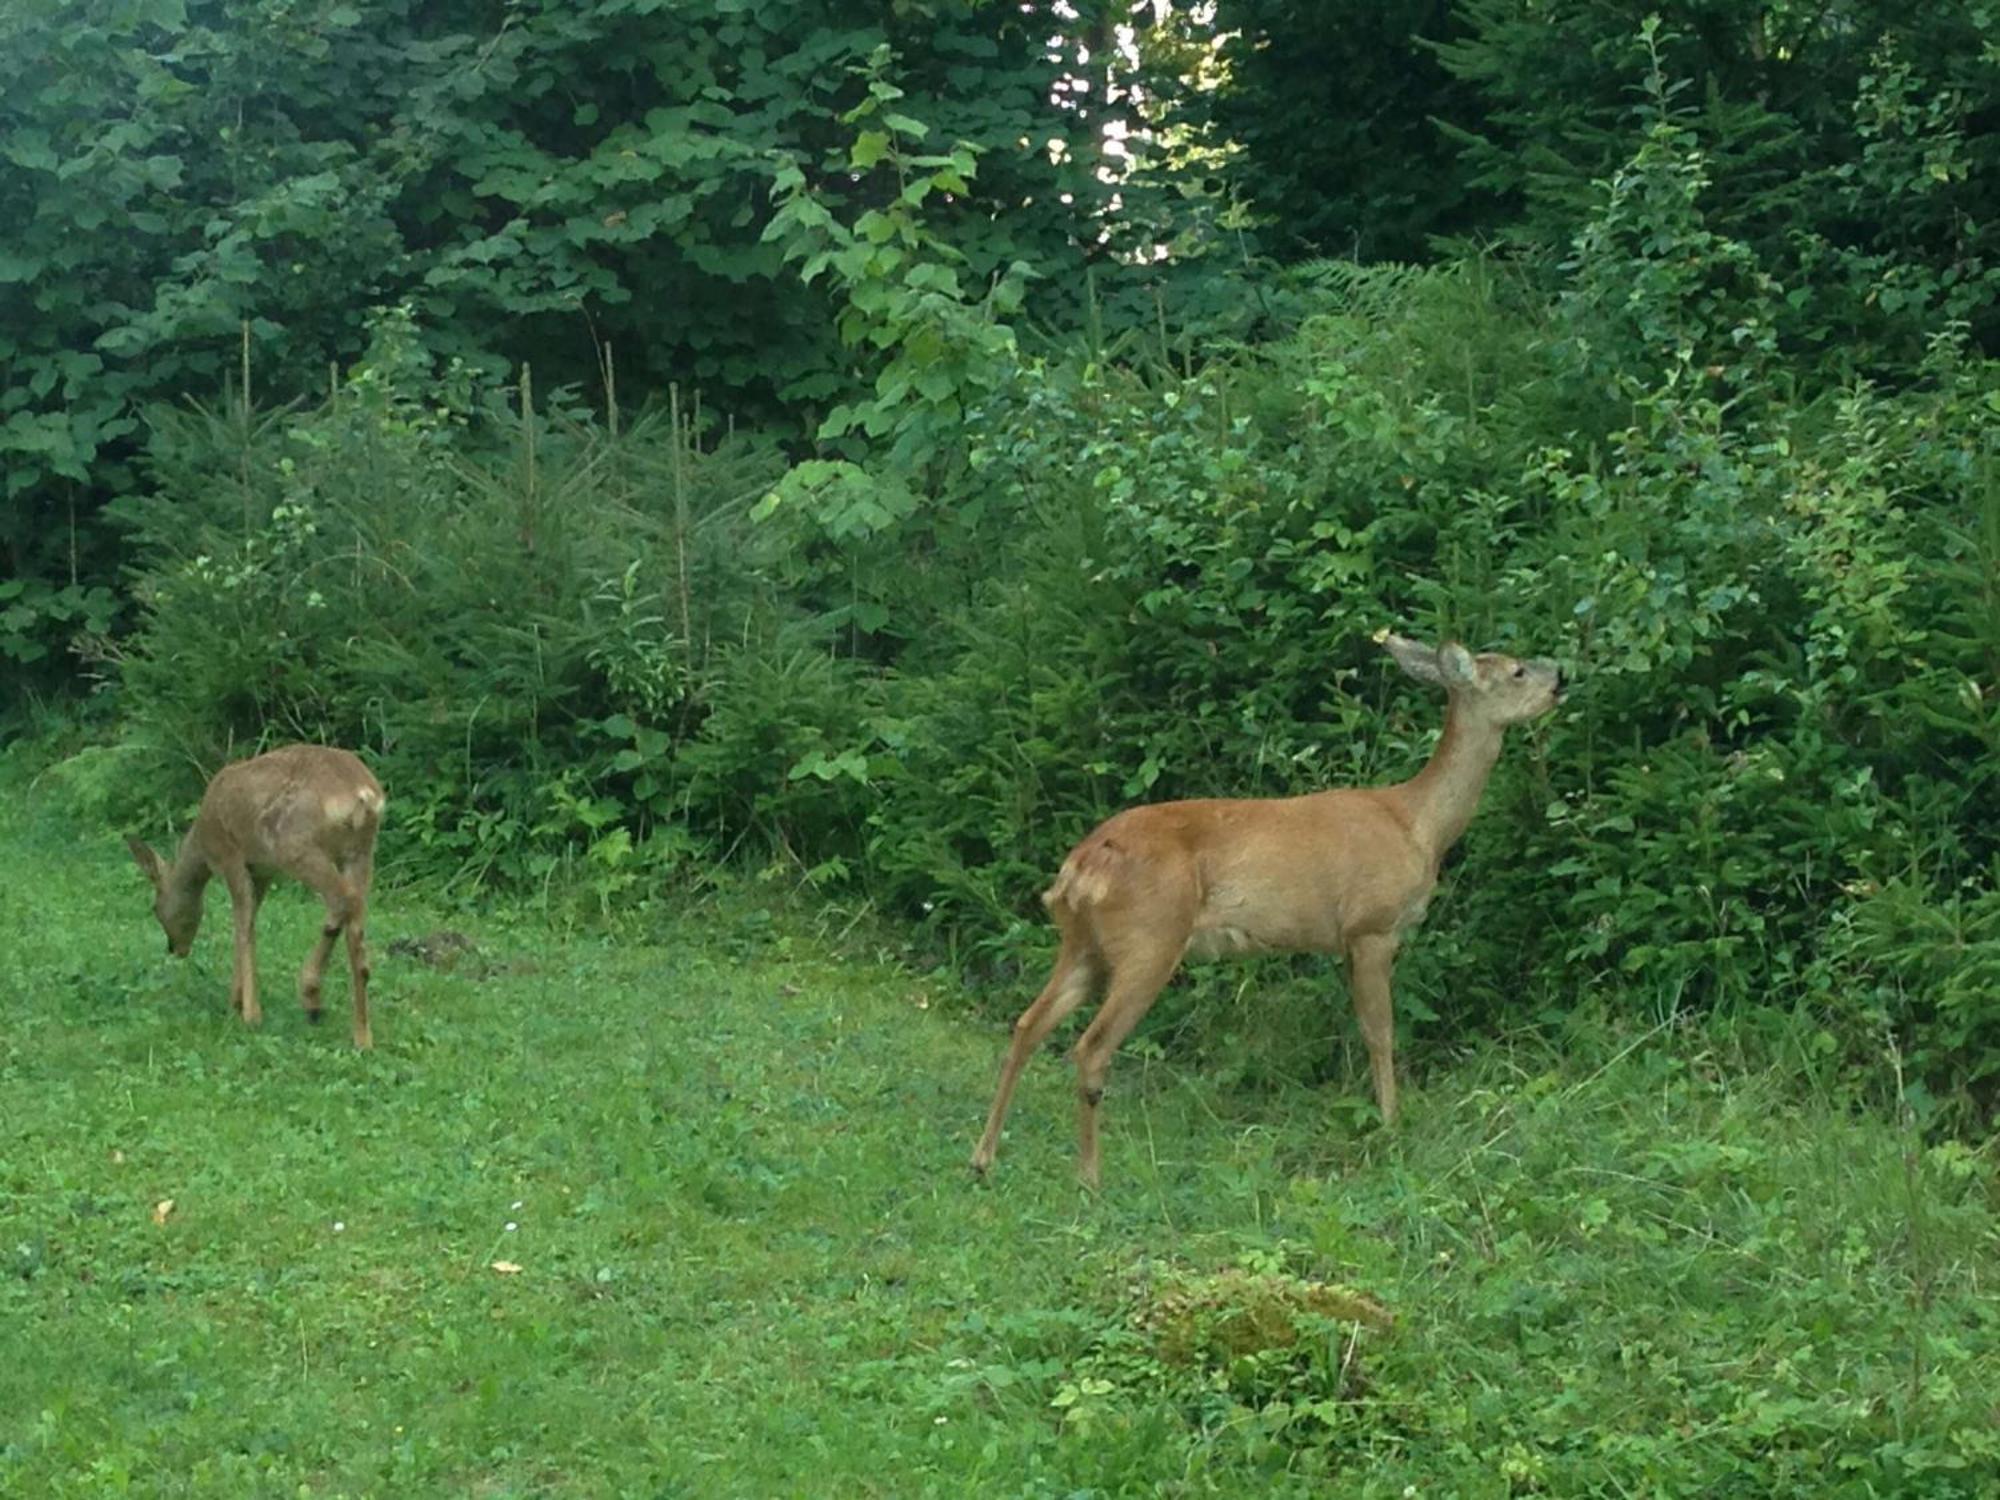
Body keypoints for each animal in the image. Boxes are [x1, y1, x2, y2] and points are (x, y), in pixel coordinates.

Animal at [126, 748, 386, 1048]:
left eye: (155, 908)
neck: (201, 842)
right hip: (360, 852)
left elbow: (242, 925)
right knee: (354, 914)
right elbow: (250, 920)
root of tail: (364, 795)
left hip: (296, 847)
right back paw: (355, 1029)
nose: (174, 948)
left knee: (343, 900)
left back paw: (320, 1005)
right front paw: (237, 1000)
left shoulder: (230, 857)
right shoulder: (261, 871)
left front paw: (248, 1012)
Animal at [968, 632, 1560, 1184]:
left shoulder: (1344, 942)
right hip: (1149, 938)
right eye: (1517, 670)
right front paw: (1391, 1125)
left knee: (1028, 1023)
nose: (1562, 678)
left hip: (1084, 944)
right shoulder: (1371, 926)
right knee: (1089, 1047)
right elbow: (1381, 1032)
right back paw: (1090, 1177)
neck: (1418, 824)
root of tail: (1080, 868)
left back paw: (983, 1158)